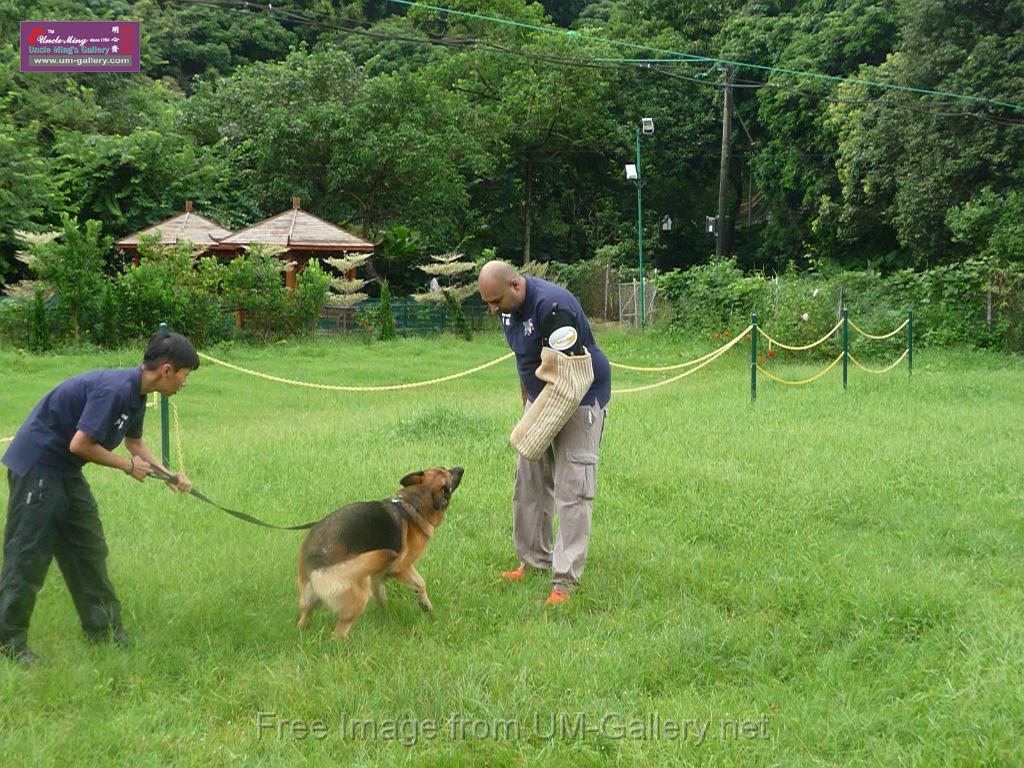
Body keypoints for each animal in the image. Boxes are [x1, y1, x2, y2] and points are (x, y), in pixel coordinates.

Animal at [296, 466, 464, 638]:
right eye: (450, 476)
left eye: (444, 469)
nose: (461, 469)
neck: (412, 504)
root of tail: (316, 557)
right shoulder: (401, 567)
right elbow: (420, 583)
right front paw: (426, 606)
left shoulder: (378, 575)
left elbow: (382, 595)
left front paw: (386, 613)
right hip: (359, 589)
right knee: (339, 632)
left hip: (315, 593)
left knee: (303, 618)